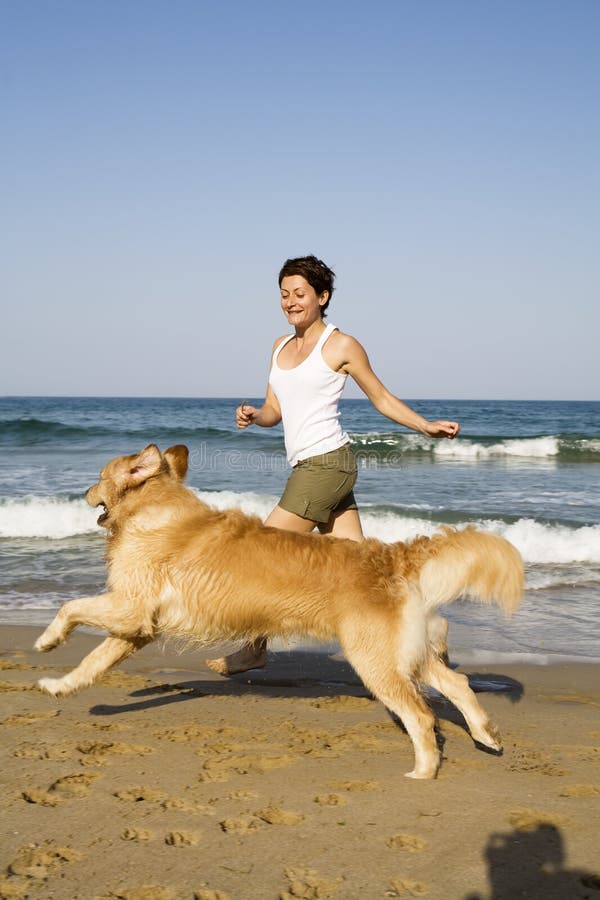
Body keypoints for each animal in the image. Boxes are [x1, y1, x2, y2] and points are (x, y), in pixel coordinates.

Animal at [35, 446, 524, 776]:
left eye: (99, 476)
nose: (83, 491)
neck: (153, 511)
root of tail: (391, 554)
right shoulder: (139, 626)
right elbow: (92, 662)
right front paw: (60, 686)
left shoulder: (131, 608)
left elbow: (71, 606)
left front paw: (48, 639)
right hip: (405, 652)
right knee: (458, 682)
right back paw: (486, 734)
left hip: (374, 660)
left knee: (422, 715)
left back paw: (423, 771)